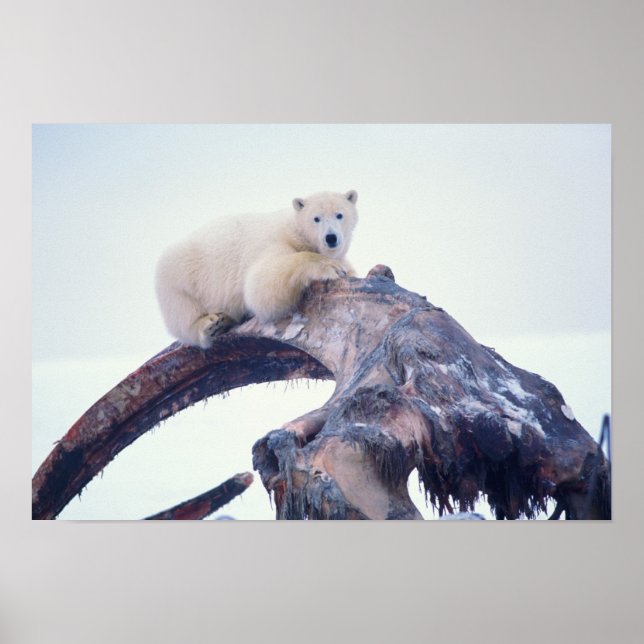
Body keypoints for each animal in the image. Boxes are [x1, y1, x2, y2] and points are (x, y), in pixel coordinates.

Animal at [155, 190, 358, 348]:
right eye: (316, 218)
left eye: (339, 214)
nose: (331, 238)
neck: (295, 232)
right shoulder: (272, 243)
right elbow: (260, 286)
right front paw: (329, 267)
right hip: (181, 275)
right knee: (182, 312)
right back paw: (211, 324)